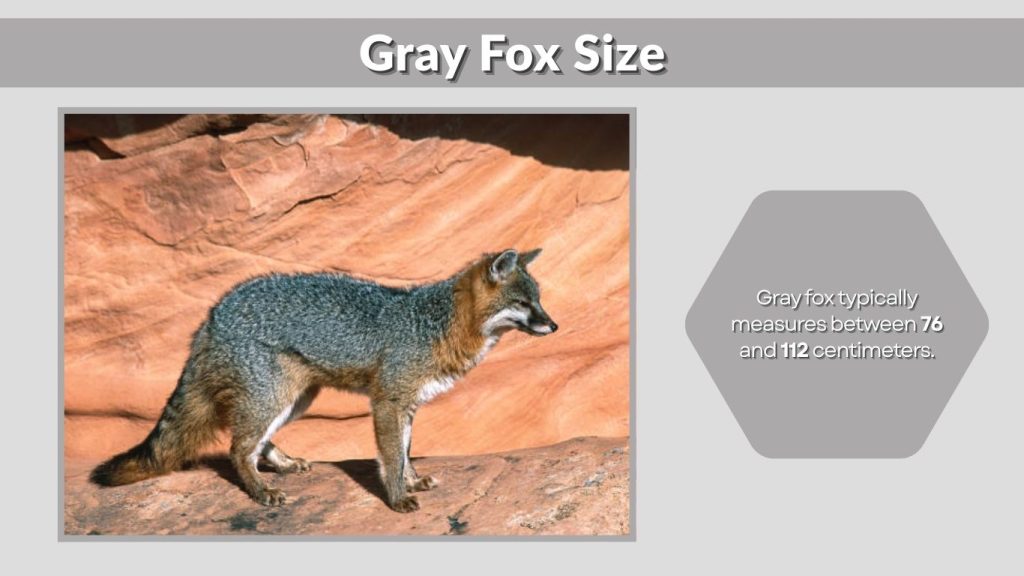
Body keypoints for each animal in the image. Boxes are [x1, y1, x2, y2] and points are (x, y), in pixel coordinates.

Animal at [90, 248, 557, 512]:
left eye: (539, 300)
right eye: (524, 303)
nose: (554, 326)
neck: (434, 324)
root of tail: (215, 309)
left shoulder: (407, 405)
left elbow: (406, 453)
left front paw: (412, 480)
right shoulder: (387, 402)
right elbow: (391, 457)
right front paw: (397, 498)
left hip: (296, 398)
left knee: (256, 442)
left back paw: (282, 465)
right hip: (273, 397)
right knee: (237, 448)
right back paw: (260, 491)